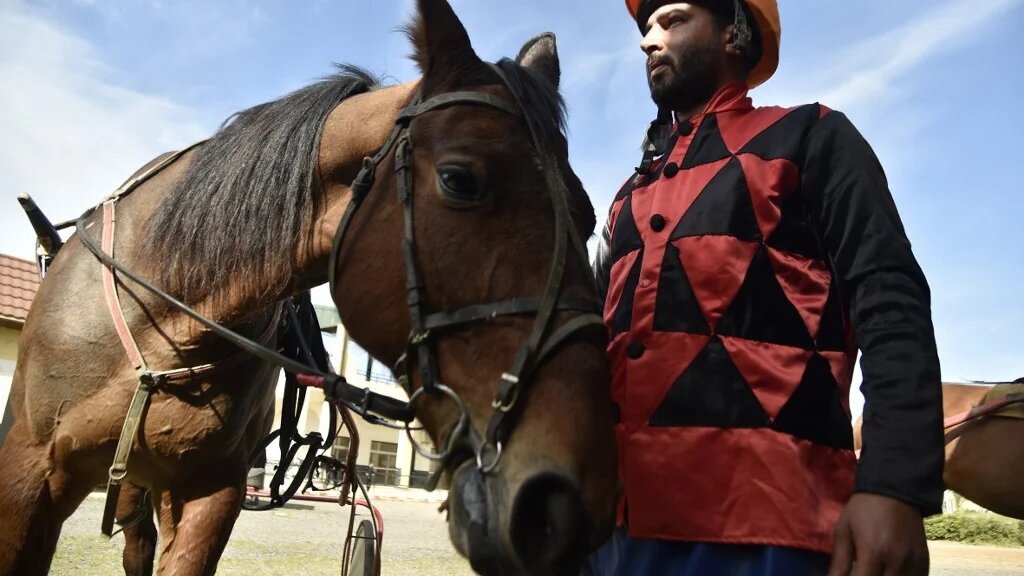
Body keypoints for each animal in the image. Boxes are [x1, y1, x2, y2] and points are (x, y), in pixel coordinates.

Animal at [0, 2, 618, 575]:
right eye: (459, 180)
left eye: (588, 218)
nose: (563, 501)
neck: (165, 312)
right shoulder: (28, 478)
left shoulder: (209, 491)